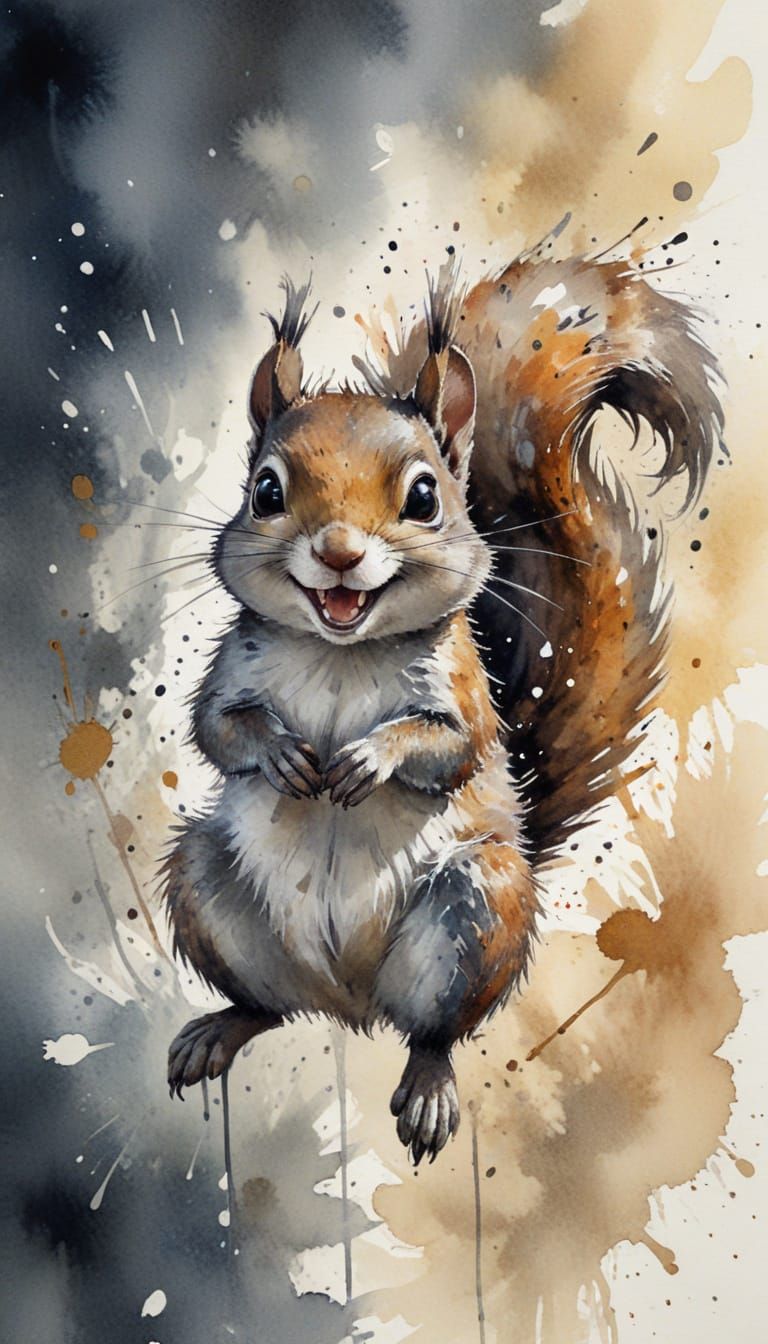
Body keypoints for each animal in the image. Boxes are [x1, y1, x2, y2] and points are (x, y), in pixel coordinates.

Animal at [162, 254, 723, 1164]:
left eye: (425, 497)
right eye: (265, 491)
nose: (339, 553)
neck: (342, 651)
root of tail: (349, 1002)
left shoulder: (463, 693)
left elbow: (446, 747)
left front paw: (368, 757)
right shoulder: (231, 668)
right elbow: (219, 729)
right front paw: (283, 753)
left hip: (476, 913)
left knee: (433, 1031)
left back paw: (427, 1086)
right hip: (204, 884)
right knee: (266, 1005)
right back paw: (221, 1028)